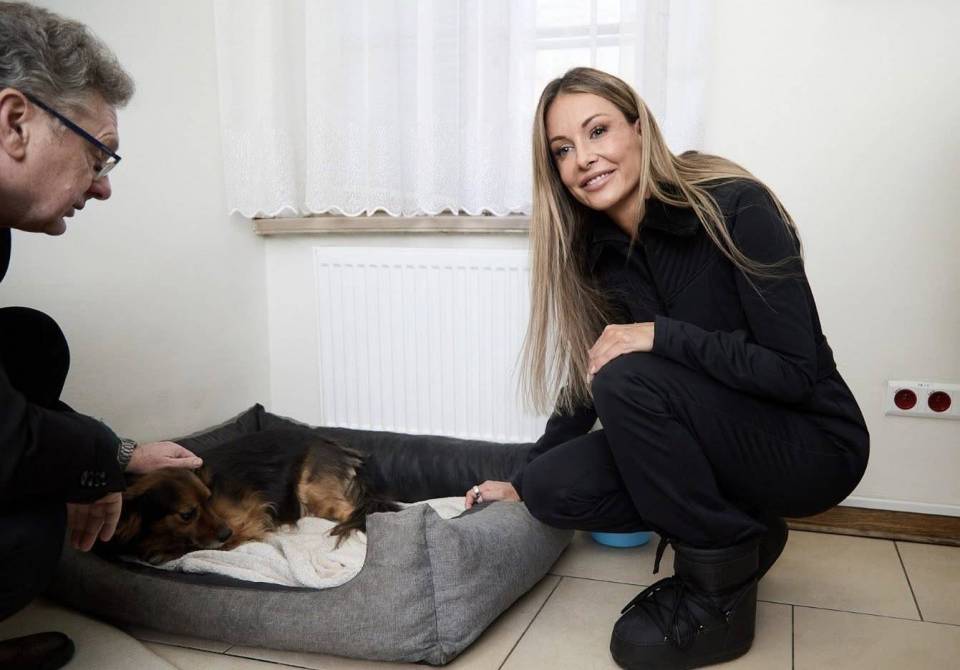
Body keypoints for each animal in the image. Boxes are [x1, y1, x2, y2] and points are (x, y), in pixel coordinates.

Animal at [103, 428, 400, 564]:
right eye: (187, 514)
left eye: (208, 499)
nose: (226, 532)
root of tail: (334, 444)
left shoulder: (246, 521)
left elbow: (196, 547)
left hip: (314, 493)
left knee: (357, 511)